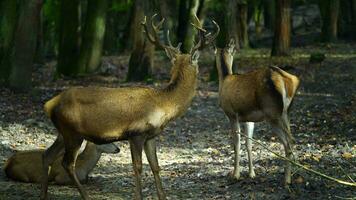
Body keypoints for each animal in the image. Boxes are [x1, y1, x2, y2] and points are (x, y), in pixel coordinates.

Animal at [38, 14, 217, 200]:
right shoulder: (136, 133)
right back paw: (85, 196)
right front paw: (138, 196)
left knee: (47, 155)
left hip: (62, 132)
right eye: (197, 64)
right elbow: (138, 167)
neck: (163, 105)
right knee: (67, 163)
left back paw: (43, 195)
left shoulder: (150, 135)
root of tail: (49, 104)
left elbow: (155, 166)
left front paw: (162, 196)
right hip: (72, 132)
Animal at [214, 39, 300, 186]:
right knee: (290, 140)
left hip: (273, 113)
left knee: (289, 141)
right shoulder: (248, 118)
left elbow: (236, 143)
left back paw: (287, 180)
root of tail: (286, 80)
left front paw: (236, 175)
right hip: (286, 112)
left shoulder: (232, 114)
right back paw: (290, 176)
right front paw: (252, 174)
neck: (224, 80)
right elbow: (249, 143)